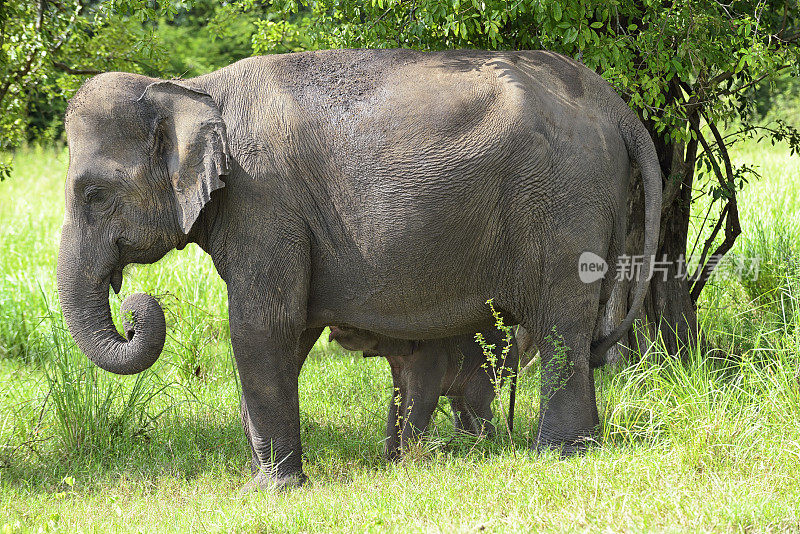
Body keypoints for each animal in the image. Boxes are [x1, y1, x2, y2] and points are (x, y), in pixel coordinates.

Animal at [326, 326, 520, 460]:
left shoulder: (430, 356)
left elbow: (424, 399)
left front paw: (407, 462)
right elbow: (398, 399)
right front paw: (390, 462)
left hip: (499, 359)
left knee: (474, 398)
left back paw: (487, 444)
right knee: (458, 401)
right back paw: (464, 444)